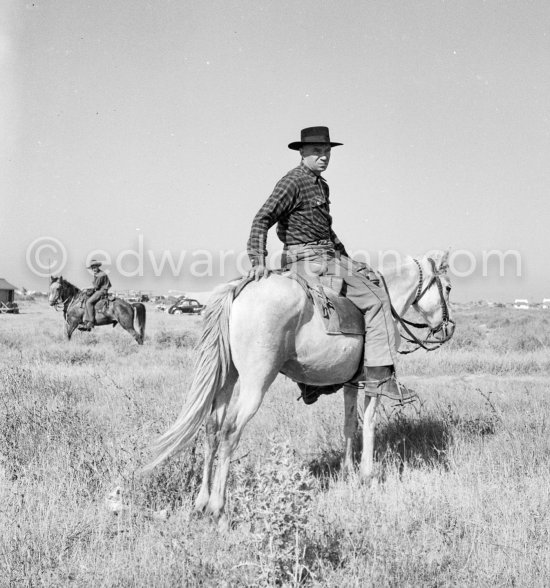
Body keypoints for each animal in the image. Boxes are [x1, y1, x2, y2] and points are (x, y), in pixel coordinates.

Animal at [146, 250, 452, 520]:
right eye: (448, 288)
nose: (449, 329)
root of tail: (240, 289)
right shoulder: (373, 381)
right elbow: (370, 424)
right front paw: (368, 476)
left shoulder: (352, 383)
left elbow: (350, 425)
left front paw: (348, 472)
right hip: (256, 381)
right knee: (230, 431)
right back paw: (217, 508)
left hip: (228, 377)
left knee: (212, 427)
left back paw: (201, 502)